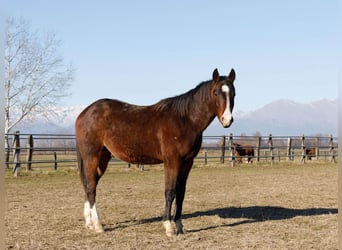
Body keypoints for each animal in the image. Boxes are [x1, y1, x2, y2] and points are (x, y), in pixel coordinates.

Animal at [74, 67, 235, 235]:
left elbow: (181, 193)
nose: (227, 120)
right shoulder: (172, 161)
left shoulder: (187, 163)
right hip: (92, 157)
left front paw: (179, 225)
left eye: (233, 93)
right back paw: (98, 225)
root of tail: (84, 113)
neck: (185, 120)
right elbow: (170, 192)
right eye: (216, 92)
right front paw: (169, 226)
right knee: (91, 187)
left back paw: (89, 223)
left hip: (102, 158)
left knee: (88, 186)